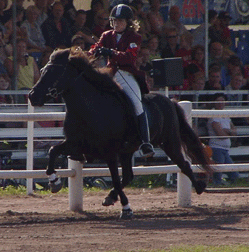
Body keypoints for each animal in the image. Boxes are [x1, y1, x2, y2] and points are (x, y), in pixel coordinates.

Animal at [28, 46, 212, 219]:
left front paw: (126, 208)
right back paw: (111, 197)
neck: (89, 108)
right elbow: (53, 151)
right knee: (129, 175)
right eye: (42, 70)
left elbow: (115, 179)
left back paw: (199, 187)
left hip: (169, 142)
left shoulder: (109, 152)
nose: (32, 96)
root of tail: (170, 101)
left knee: (184, 164)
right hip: (128, 150)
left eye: (55, 72)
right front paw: (54, 182)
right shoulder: (77, 145)